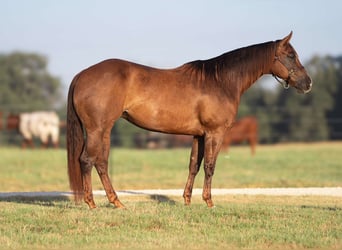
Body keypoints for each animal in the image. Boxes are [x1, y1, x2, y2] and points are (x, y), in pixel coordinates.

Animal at [67, 32, 312, 209]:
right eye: (290, 55)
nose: (308, 83)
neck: (220, 81)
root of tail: (81, 74)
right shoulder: (215, 133)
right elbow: (210, 166)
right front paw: (209, 202)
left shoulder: (198, 135)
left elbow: (194, 165)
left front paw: (187, 200)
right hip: (97, 129)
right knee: (87, 160)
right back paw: (92, 204)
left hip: (104, 130)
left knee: (101, 163)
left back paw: (116, 202)